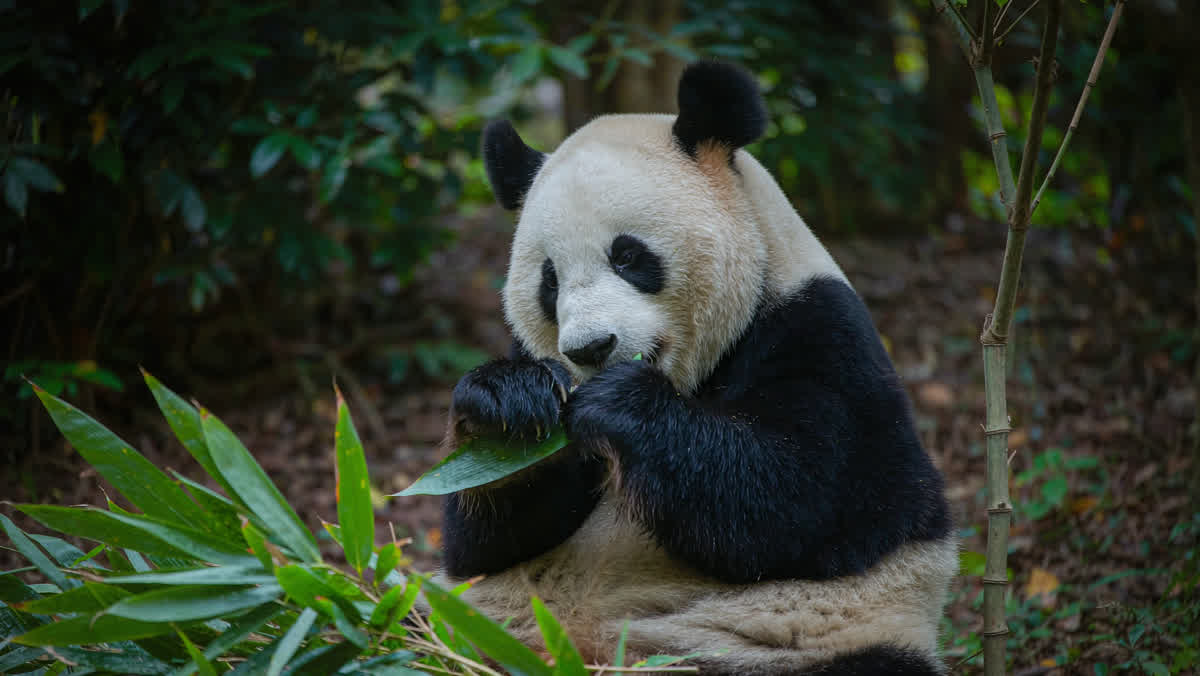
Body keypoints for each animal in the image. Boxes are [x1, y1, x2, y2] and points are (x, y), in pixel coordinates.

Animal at [435, 61, 957, 675]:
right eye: (549, 281)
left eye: (628, 256)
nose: (591, 349)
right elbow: (485, 541)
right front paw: (509, 403)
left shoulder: (820, 330)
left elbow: (803, 498)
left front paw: (622, 403)